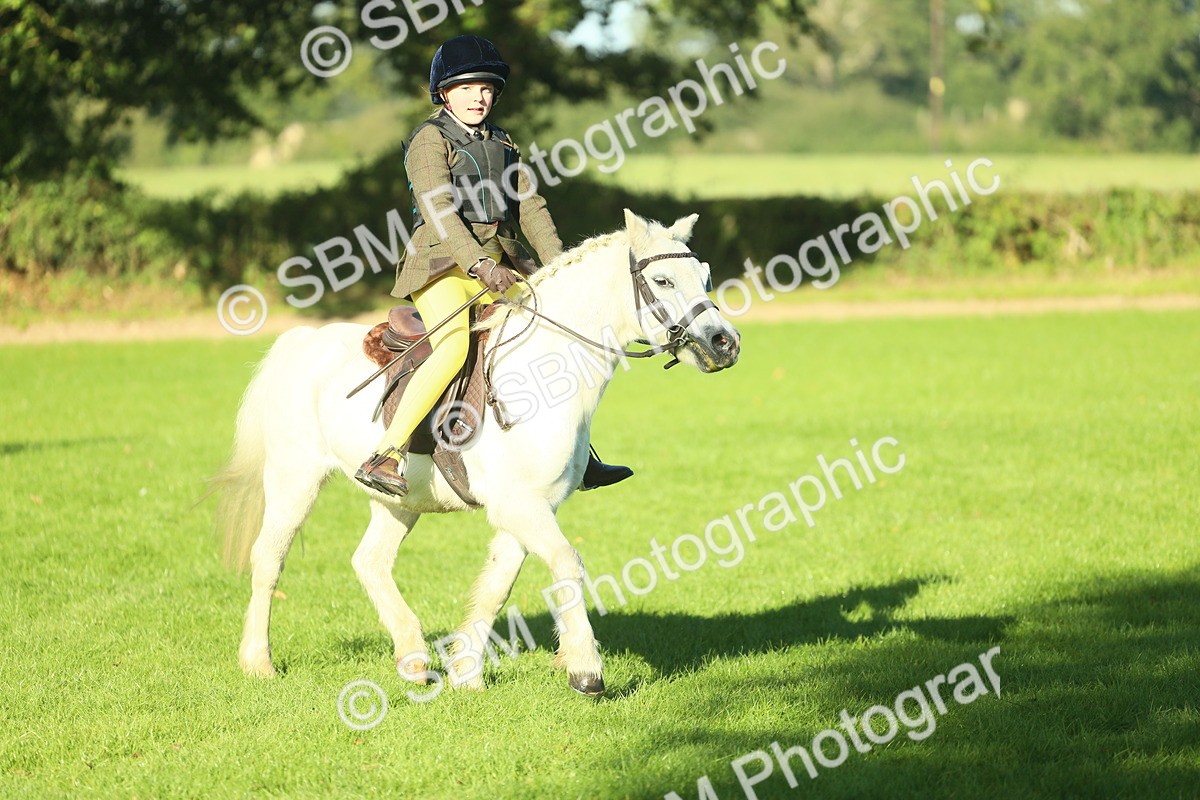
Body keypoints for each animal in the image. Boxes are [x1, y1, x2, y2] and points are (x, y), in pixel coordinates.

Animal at [214, 209, 741, 696]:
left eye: (706, 277)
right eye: (663, 280)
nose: (725, 343)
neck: (542, 373)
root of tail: (302, 339)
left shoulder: (530, 506)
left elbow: (497, 585)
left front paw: (466, 672)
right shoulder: (518, 504)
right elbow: (566, 563)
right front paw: (585, 670)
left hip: (399, 500)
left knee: (370, 561)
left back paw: (413, 658)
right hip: (294, 479)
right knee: (269, 558)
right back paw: (258, 662)